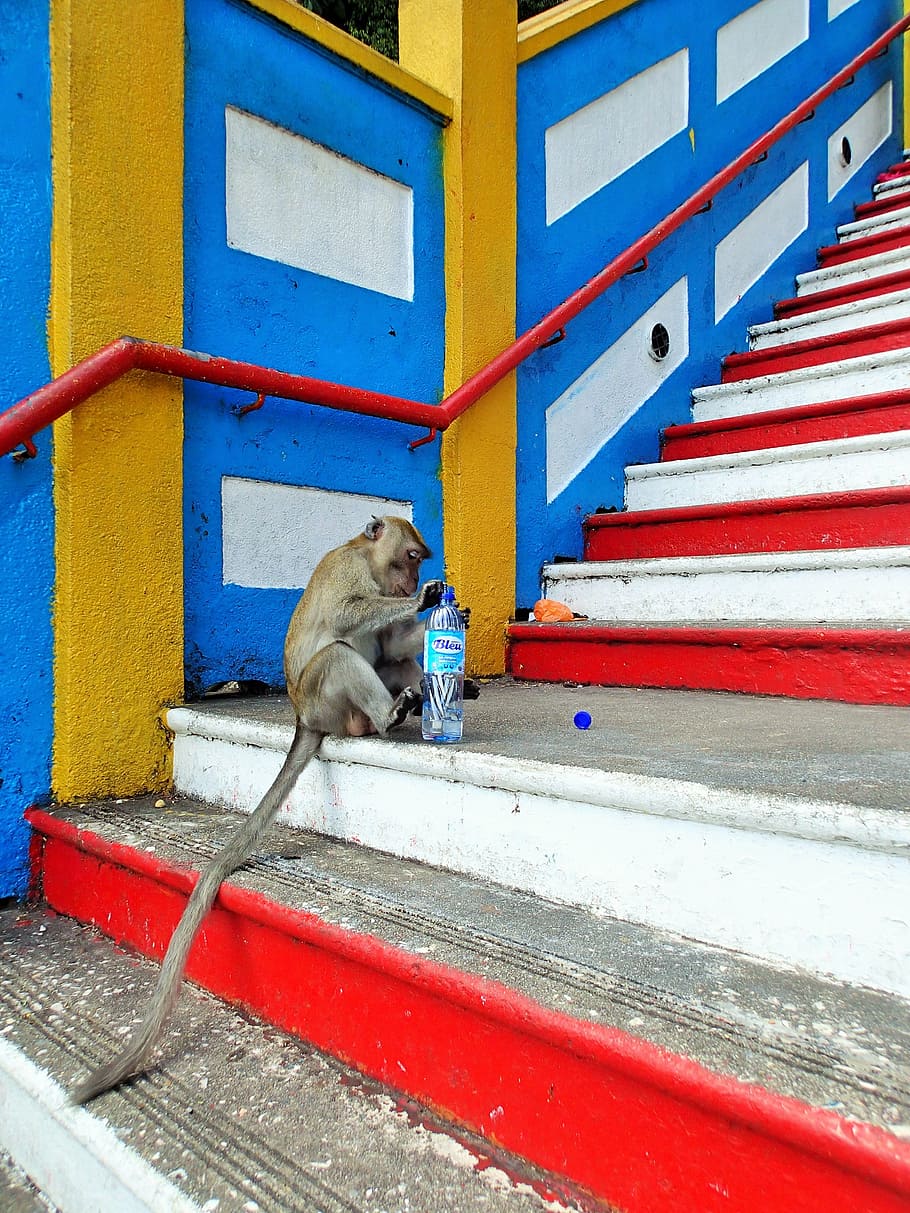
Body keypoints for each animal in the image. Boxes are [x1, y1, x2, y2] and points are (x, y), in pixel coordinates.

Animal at [71, 515, 446, 1105]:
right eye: (411, 558)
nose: (412, 584)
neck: (367, 558)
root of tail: (303, 718)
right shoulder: (350, 574)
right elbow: (351, 615)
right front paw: (428, 602)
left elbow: (391, 643)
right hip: (327, 702)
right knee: (339, 655)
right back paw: (392, 716)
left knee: (392, 659)